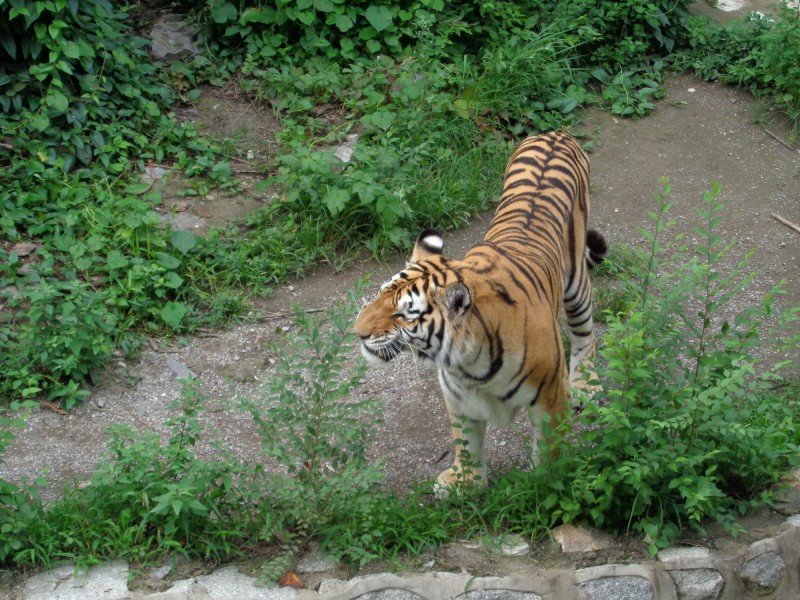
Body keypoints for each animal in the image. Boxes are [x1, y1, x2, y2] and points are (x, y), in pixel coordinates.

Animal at [354, 130, 608, 492]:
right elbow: (466, 439)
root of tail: (554, 133)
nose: (357, 332)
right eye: (380, 295)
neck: (469, 363)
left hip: (576, 284)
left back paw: (587, 386)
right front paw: (465, 482)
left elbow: (549, 448)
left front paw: (543, 485)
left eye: (404, 314)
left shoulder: (550, 395)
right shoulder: (458, 396)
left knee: (585, 333)